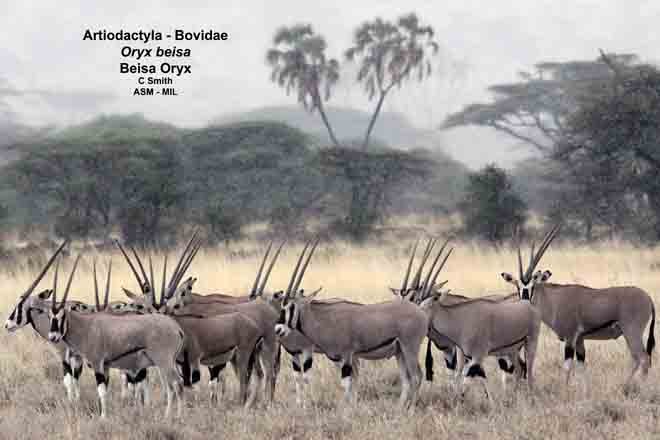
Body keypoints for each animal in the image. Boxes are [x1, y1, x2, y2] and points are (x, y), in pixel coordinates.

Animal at [45, 254, 186, 418]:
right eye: (49, 316)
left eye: (62, 316)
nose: (53, 337)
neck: (85, 326)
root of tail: (176, 328)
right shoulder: (105, 366)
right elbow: (105, 390)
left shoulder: (97, 363)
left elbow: (101, 391)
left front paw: (103, 418)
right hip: (165, 363)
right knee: (171, 386)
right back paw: (168, 415)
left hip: (164, 362)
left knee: (177, 383)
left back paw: (176, 416)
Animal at [275, 239, 428, 410]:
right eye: (281, 305)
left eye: (292, 306)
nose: (278, 329)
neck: (323, 318)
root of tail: (421, 312)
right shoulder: (340, 358)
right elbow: (350, 384)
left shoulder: (347, 356)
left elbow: (347, 384)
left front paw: (346, 409)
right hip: (400, 352)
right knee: (407, 379)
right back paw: (399, 408)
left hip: (410, 348)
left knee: (416, 376)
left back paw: (411, 409)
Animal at [500, 225, 656, 386]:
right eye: (518, 286)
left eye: (533, 286)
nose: (524, 301)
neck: (554, 300)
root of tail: (648, 298)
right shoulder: (580, 340)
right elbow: (582, 367)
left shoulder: (570, 338)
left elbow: (567, 367)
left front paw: (565, 388)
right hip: (629, 334)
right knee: (637, 359)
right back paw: (626, 385)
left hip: (632, 332)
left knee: (644, 359)